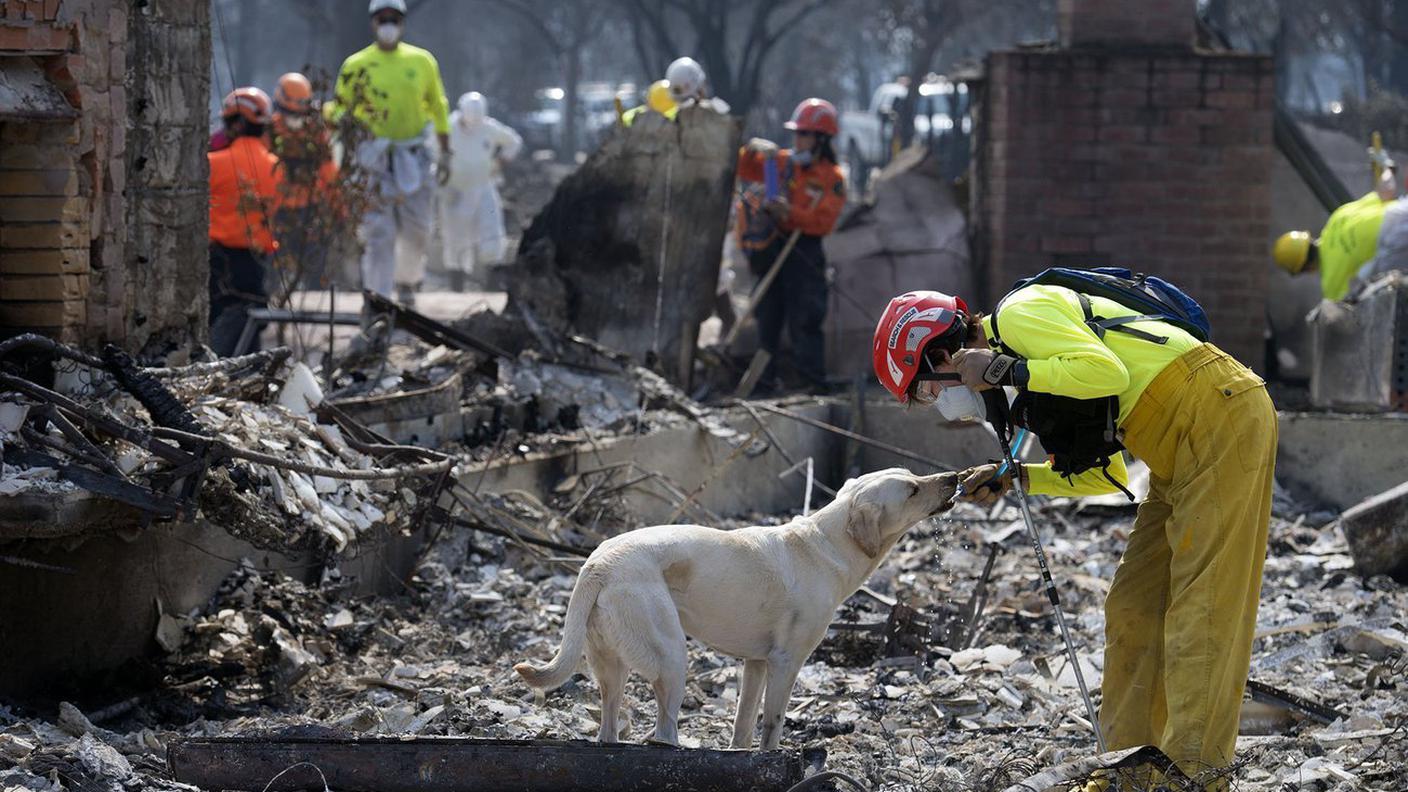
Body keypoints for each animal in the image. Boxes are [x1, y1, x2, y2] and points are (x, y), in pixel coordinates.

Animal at [515, 465, 957, 749]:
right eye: (912, 489)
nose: (954, 478)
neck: (829, 544)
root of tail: (598, 563)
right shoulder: (785, 662)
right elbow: (772, 726)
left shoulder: (757, 663)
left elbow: (744, 726)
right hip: (671, 658)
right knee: (664, 732)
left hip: (611, 667)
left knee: (609, 729)